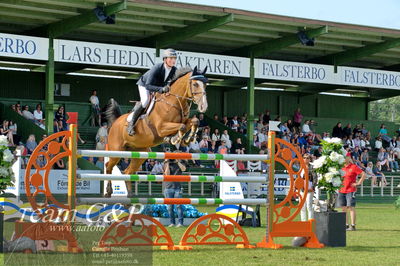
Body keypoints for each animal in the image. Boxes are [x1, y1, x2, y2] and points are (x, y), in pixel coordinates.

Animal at [103, 65, 208, 196]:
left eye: (205, 84)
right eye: (195, 84)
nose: (204, 106)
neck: (173, 102)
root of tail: (116, 121)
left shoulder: (184, 121)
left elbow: (194, 121)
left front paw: (188, 138)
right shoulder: (161, 127)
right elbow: (181, 127)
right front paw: (174, 138)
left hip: (140, 153)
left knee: (127, 172)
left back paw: (130, 196)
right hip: (117, 150)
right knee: (108, 166)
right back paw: (108, 191)